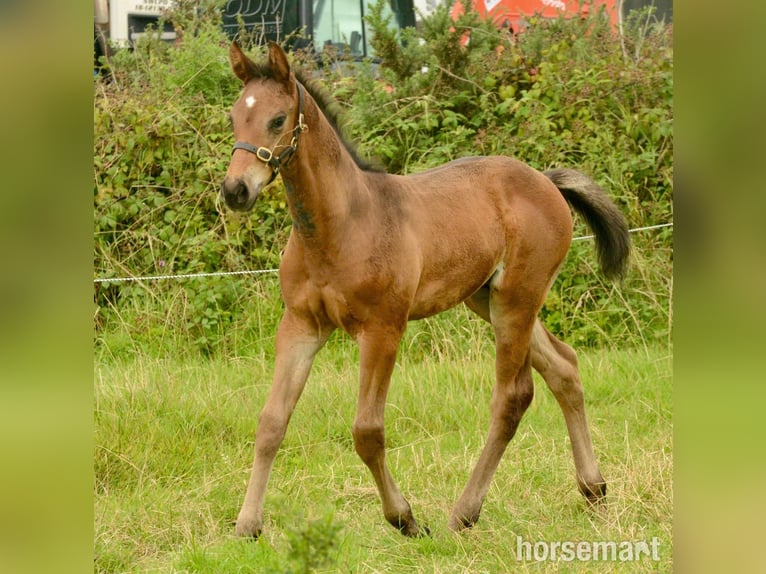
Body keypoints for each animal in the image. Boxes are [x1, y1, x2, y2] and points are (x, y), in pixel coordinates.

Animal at [220, 41, 630, 538]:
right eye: (234, 117)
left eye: (278, 120)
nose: (235, 190)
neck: (342, 225)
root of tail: (546, 180)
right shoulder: (301, 325)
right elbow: (270, 422)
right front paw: (247, 525)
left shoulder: (383, 330)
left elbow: (367, 431)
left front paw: (404, 518)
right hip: (490, 300)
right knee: (564, 368)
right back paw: (593, 489)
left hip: (517, 300)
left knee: (512, 397)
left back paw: (464, 513)